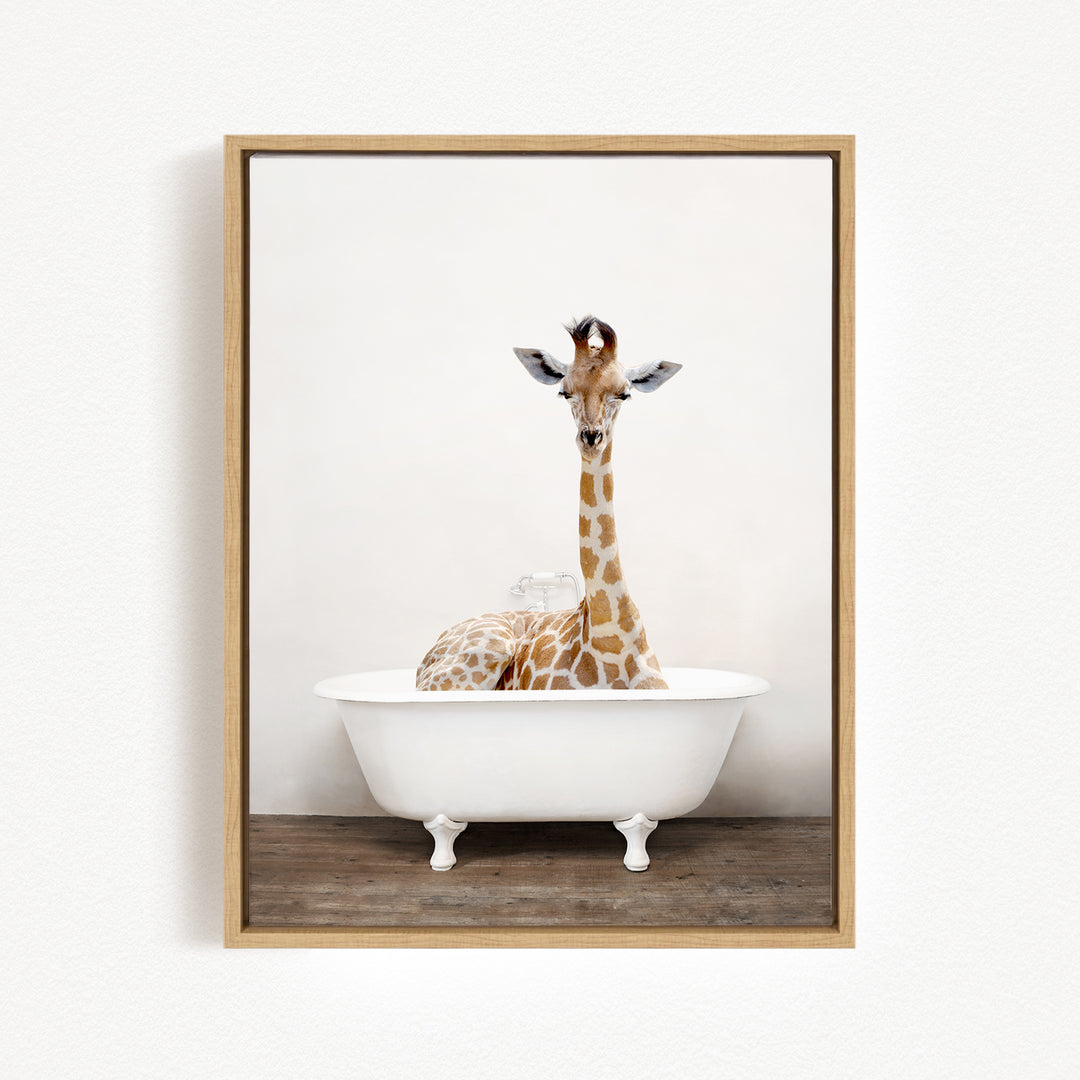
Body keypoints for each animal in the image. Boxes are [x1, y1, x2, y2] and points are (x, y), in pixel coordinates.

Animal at [415, 315, 682, 692]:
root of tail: (424, 659)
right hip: (483, 651)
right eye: (564, 391)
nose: (591, 437)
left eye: (624, 393)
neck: (611, 636)